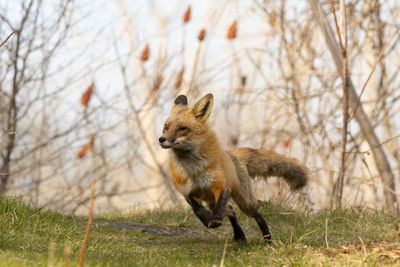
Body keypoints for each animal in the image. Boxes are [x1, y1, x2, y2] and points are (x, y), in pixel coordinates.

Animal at [159, 93, 310, 243]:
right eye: (166, 127)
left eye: (182, 129)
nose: (161, 139)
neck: (193, 169)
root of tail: (232, 155)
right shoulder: (187, 191)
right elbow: (198, 211)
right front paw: (209, 221)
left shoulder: (221, 186)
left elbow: (219, 208)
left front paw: (215, 220)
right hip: (213, 202)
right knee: (231, 210)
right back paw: (239, 236)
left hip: (244, 202)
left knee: (258, 215)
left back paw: (268, 240)